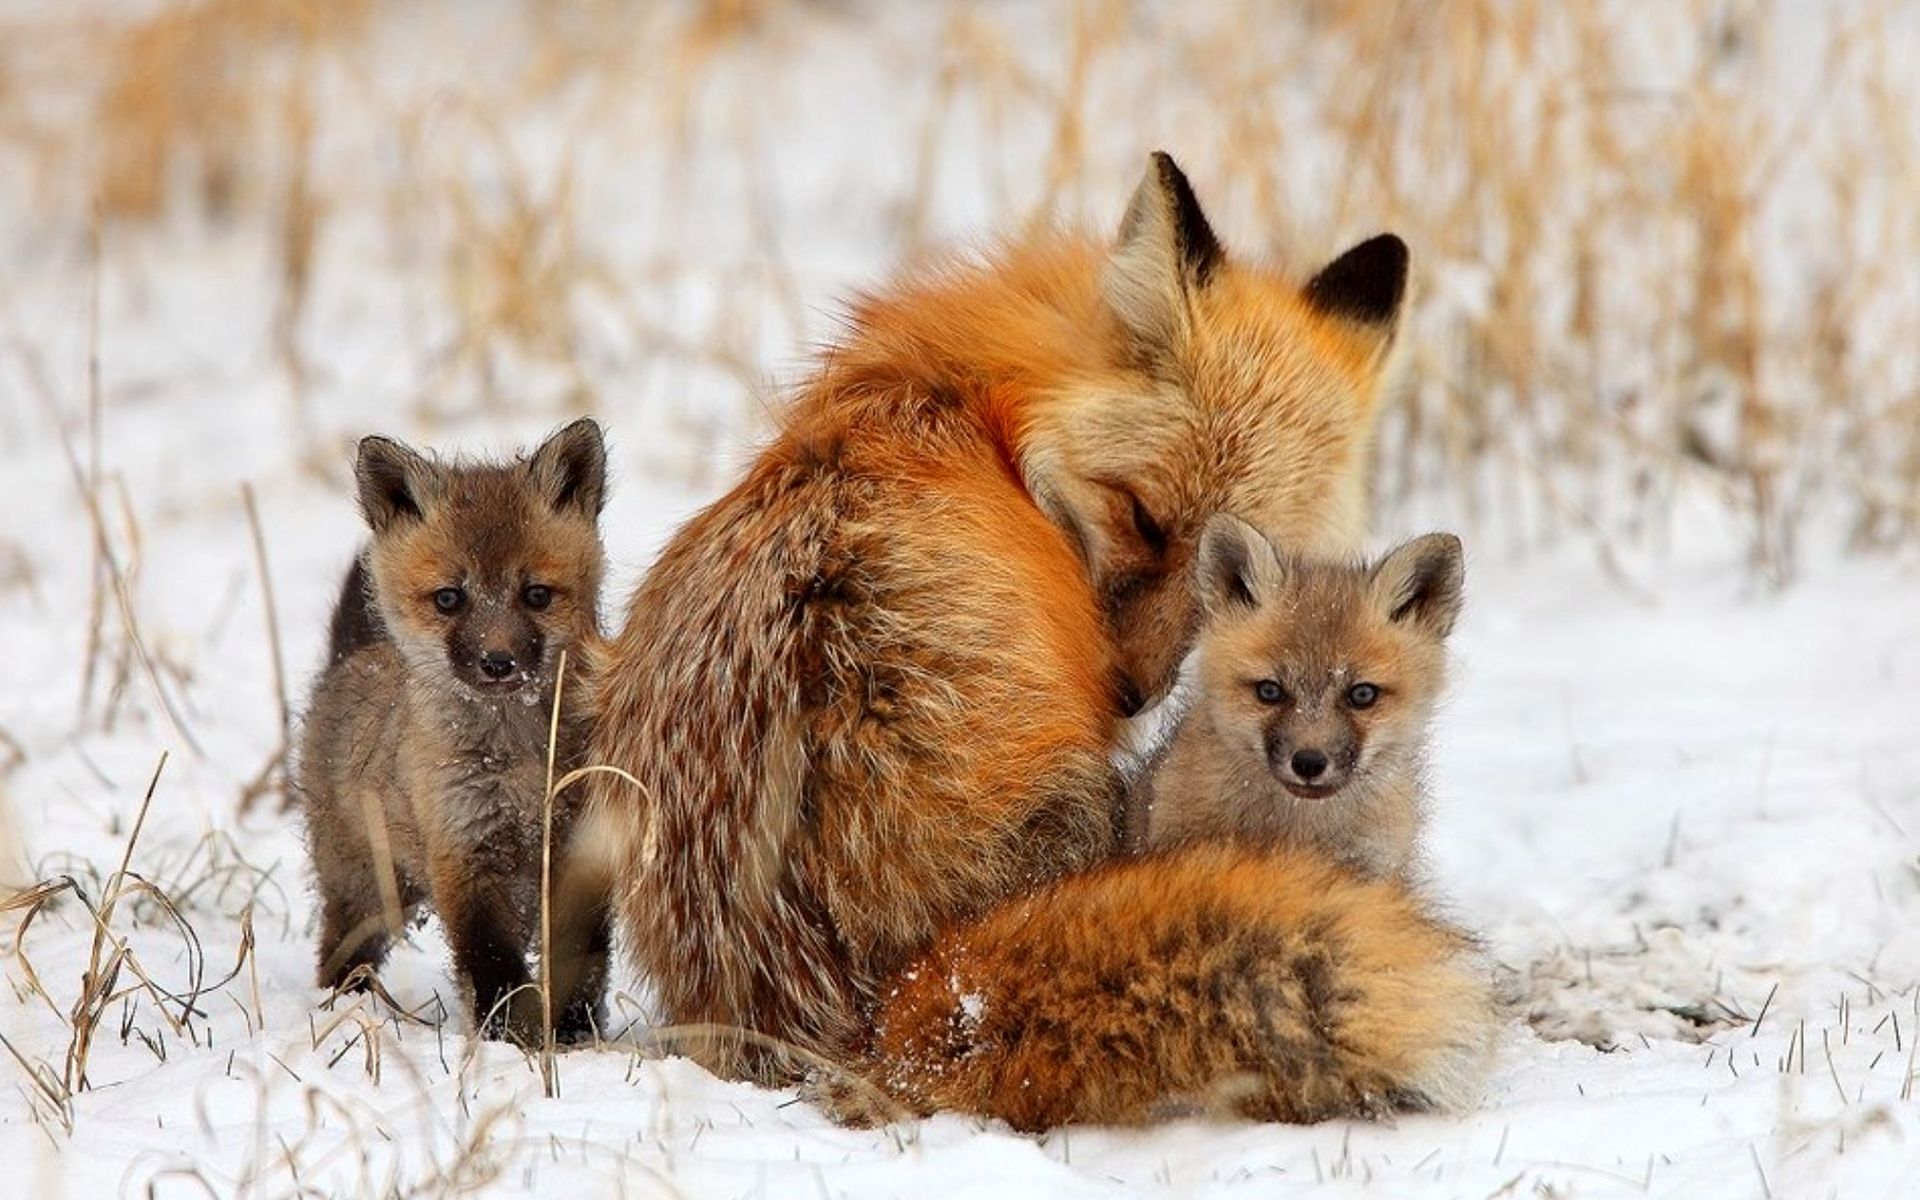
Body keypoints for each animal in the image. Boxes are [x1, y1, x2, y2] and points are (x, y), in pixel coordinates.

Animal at [295, 416, 610, 1044]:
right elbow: (494, 967)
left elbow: (582, 961)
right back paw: (349, 1011)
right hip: (369, 892)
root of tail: (351, 660)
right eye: (449, 599)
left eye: (535, 595)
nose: (498, 662)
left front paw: (574, 1036)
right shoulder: (466, 854)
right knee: (340, 955)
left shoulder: (580, 850)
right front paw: (511, 1042)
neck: (521, 767)